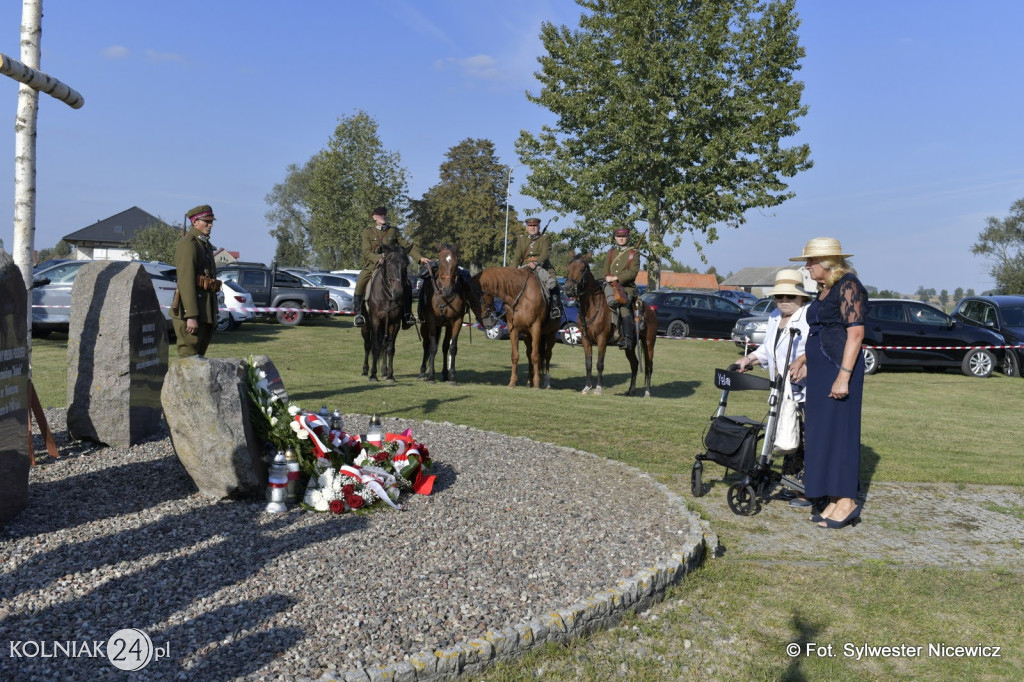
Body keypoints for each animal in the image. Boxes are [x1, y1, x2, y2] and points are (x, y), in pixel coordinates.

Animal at [360, 242, 407, 382]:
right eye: (389, 264)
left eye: (406, 265)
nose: (398, 292)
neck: (387, 295)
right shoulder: (375, 321)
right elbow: (375, 347)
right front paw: (373, 375)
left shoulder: (394, 323)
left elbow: (390, 348)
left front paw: (390, 375)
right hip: (366, 325)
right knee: (368, 345)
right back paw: (365, 370)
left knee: (385, 345)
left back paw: (384, 371)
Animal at [417, 242, 468, 382]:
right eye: (439, 262)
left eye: (456, 262)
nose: (447, 290)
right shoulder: (431, 322)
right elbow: (433, 347)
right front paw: (431, 376)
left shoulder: (456, 322)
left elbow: (451, 347)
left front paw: (452, 376)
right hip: (425, 326)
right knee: (426, 345)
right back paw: (423, 371)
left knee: (444, 346)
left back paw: (445, 373)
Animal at [561, 251, 655, 395]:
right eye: (569, 267)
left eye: (582, 269)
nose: (568, 288)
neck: (592, 308)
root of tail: (650, 310)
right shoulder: (586, 340)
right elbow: (588, 364)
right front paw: (587, 387)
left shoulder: (602, 340)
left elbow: (599, 364)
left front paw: (598, 388)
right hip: (630, 346)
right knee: (634, 364)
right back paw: (631, 390)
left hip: (649, 343)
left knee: (649, 365)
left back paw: (647, 392)